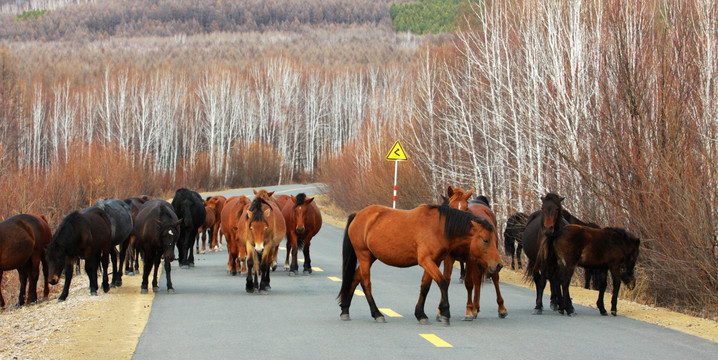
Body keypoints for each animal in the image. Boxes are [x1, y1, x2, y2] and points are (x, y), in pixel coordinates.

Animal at [338, 204, 504, 324]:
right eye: (485, 240)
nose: (498, 265)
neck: (439, 228)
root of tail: (358, 215)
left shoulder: (434, 261)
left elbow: (425, 287)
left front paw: (420, 314)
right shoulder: (426, 261)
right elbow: (442, 282)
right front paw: (445, 312)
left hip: (371, 256)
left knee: (355, 278)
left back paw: (345, 310)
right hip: (364, 255)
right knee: (366, 283)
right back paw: (377, 313)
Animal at [444, 187, 512, 320]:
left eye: (466, 208)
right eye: (451, 207)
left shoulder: (471, 258)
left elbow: (469, 283)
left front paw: (468, 311)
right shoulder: (449, 257)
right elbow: (446, 280)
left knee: (494, 278)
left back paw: (501, 308)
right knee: (477, 279)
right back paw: (476, 307)